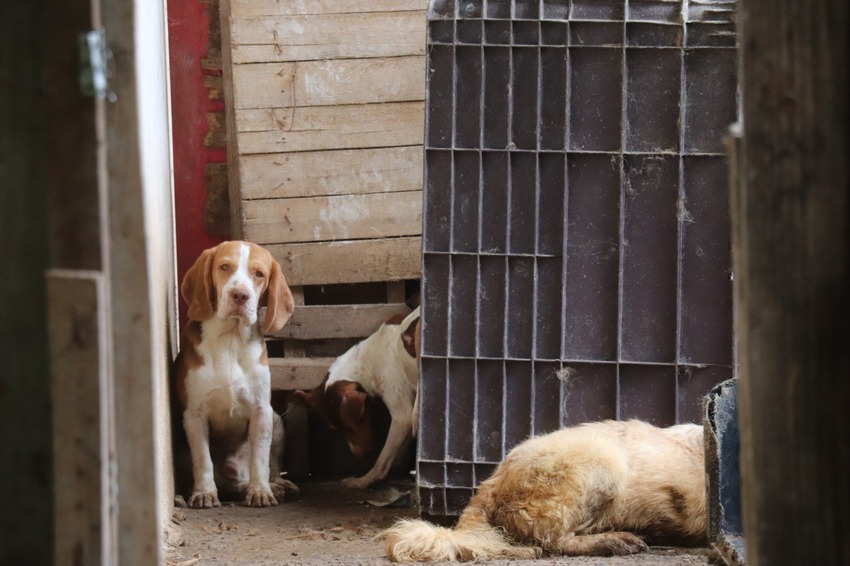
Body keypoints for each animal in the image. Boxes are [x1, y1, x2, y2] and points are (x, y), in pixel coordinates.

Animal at [172, 240, 298, 510]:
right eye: (224, 267)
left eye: (259, 274)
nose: (240, 295)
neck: (230, 339)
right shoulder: (194, 414)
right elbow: (203, 460)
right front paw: (204, 493)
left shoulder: (261, 411)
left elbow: (260, 460)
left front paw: (260, 492)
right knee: (230, 484)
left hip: (276, 419)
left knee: (268, 468)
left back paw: (278, 486)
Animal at [296, 308, 420, 490]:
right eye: (336, 428)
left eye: (349, 425)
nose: (359, 454)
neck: (369, 359)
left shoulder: (402, 417)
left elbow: (382, 459)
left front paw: (364, 480)